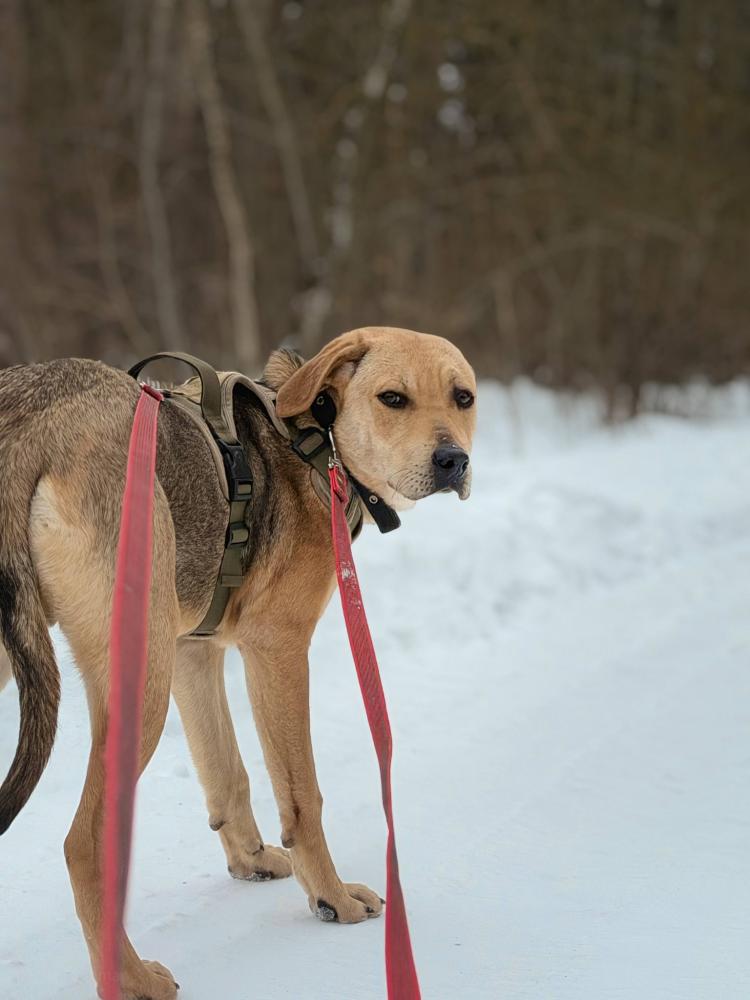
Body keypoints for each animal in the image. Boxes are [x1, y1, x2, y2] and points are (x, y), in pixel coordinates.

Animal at [0, 326, 476, 999]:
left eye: (463, 397)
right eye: (393, 398)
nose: (452, 462)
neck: (315, 439)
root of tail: (35, 417)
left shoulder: (192, 653)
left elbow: (227, 771)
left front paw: (250, 861)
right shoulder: (276, 648)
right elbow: (302, 795)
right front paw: (330, 898)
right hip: (139, 684)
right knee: (84, 843)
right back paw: (131, 975)